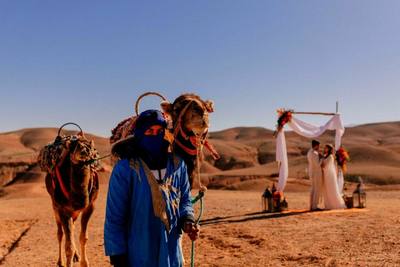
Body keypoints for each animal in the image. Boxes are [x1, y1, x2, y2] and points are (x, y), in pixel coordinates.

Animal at [39, 135, 99, 267]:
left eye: (90, 147)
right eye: (73, 147)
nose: (83, 149)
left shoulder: (90, 206)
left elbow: (83, 237)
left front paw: (84, 263)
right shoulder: (63, 209)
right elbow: (68, 246)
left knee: (72, 228)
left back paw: (76, 256)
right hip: (55, 206)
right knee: (60, 233)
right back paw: (60, 261)